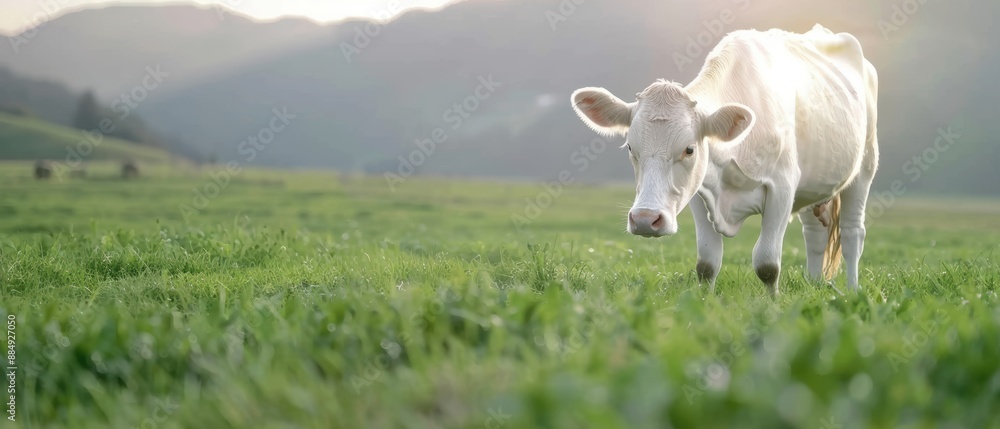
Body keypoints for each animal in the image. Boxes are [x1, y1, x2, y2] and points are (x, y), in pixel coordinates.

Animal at [570, 24, 878, 295]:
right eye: (630, 148)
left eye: (689, 149)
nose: (645, 219)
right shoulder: (698, 193)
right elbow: (707, 263)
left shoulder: (783, 187)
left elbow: (767, 263)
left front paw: (773, 306)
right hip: (815, 184)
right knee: (814, 234)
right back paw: (814, 285)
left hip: (865, 167)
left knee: (853, 234)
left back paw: (853, 291)